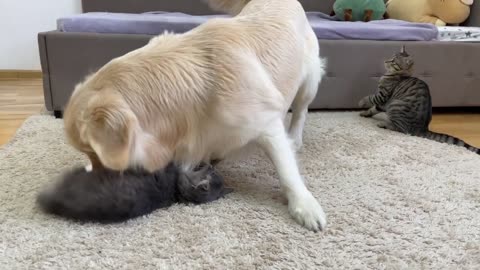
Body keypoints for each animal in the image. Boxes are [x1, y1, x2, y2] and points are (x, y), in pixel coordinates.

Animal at [62, 0, 326, 231]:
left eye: (93, 151)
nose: (97, 180)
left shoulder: (266, 123)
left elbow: (287, 170)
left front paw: (304, 205)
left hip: (309, 81)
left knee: (300, 110)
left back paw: (296, 138)